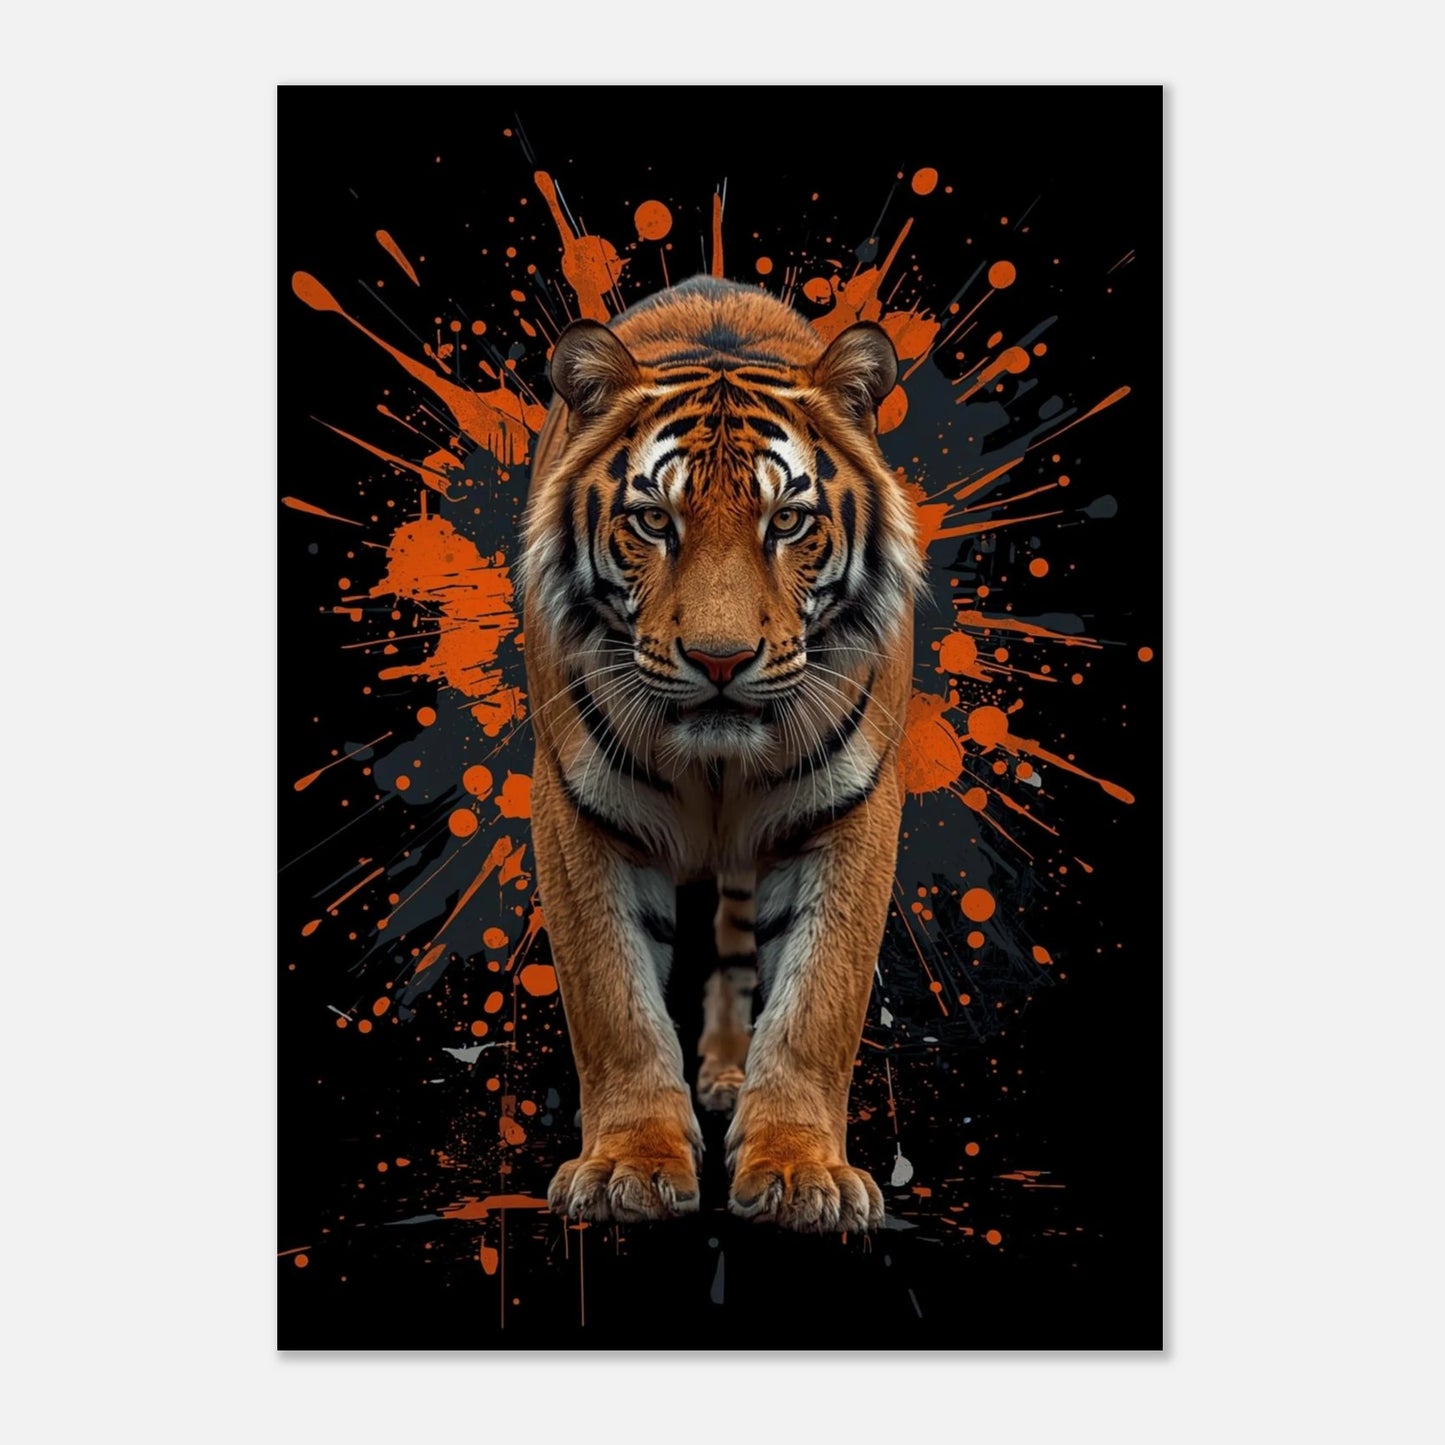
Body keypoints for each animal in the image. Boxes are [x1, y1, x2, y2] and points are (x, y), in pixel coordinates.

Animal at [520, 275, 923, 1233]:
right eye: (651, 521)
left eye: (788, 521)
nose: (718, 659)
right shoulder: (574, 806)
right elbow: (612, 997)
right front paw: (626, 1166)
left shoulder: (854, 806)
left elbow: (817, 1000)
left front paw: (800, 1172)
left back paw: (733, 1077)